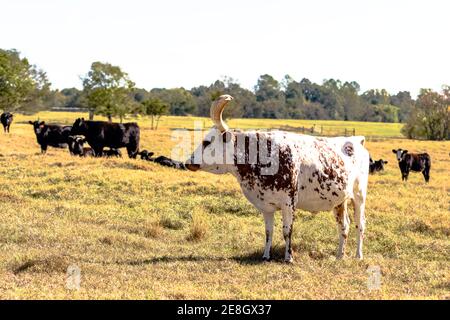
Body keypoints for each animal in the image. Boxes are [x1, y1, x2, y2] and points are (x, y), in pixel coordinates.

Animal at [185, 95, 370, 262]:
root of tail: (356, 140)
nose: (188, 162)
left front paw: (289, 257)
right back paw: (339, 256)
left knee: (360, 224)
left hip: (359, 195)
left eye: (207, 142)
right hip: (340, 200)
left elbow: (287, 231)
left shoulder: (289, 202)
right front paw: (266, 255)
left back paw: (358, 256)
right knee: (344, 226)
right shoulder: (266, 206)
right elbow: (269, 232)